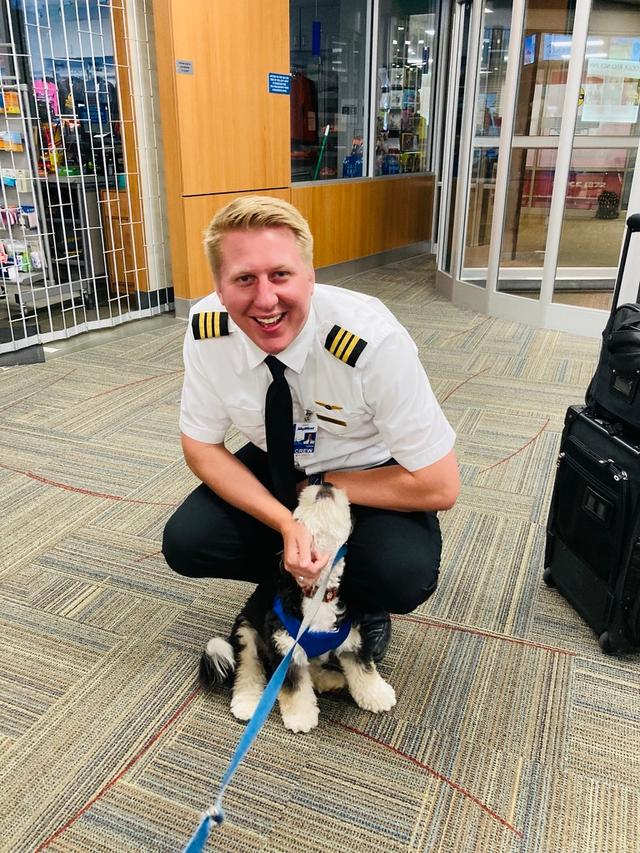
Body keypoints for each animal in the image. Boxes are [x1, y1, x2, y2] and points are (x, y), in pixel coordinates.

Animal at [200, 482, 396, 728]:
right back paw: (247, 703)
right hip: (246, 632)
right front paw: (300, 716)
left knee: (311, 666)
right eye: (297, 506)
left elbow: (363, 669)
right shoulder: (285, 647)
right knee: (248, 669)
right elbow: (295, 687)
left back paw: (328, 679)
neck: (320, 593)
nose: (327, 483)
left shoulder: (352, 638)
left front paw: (378, 696)